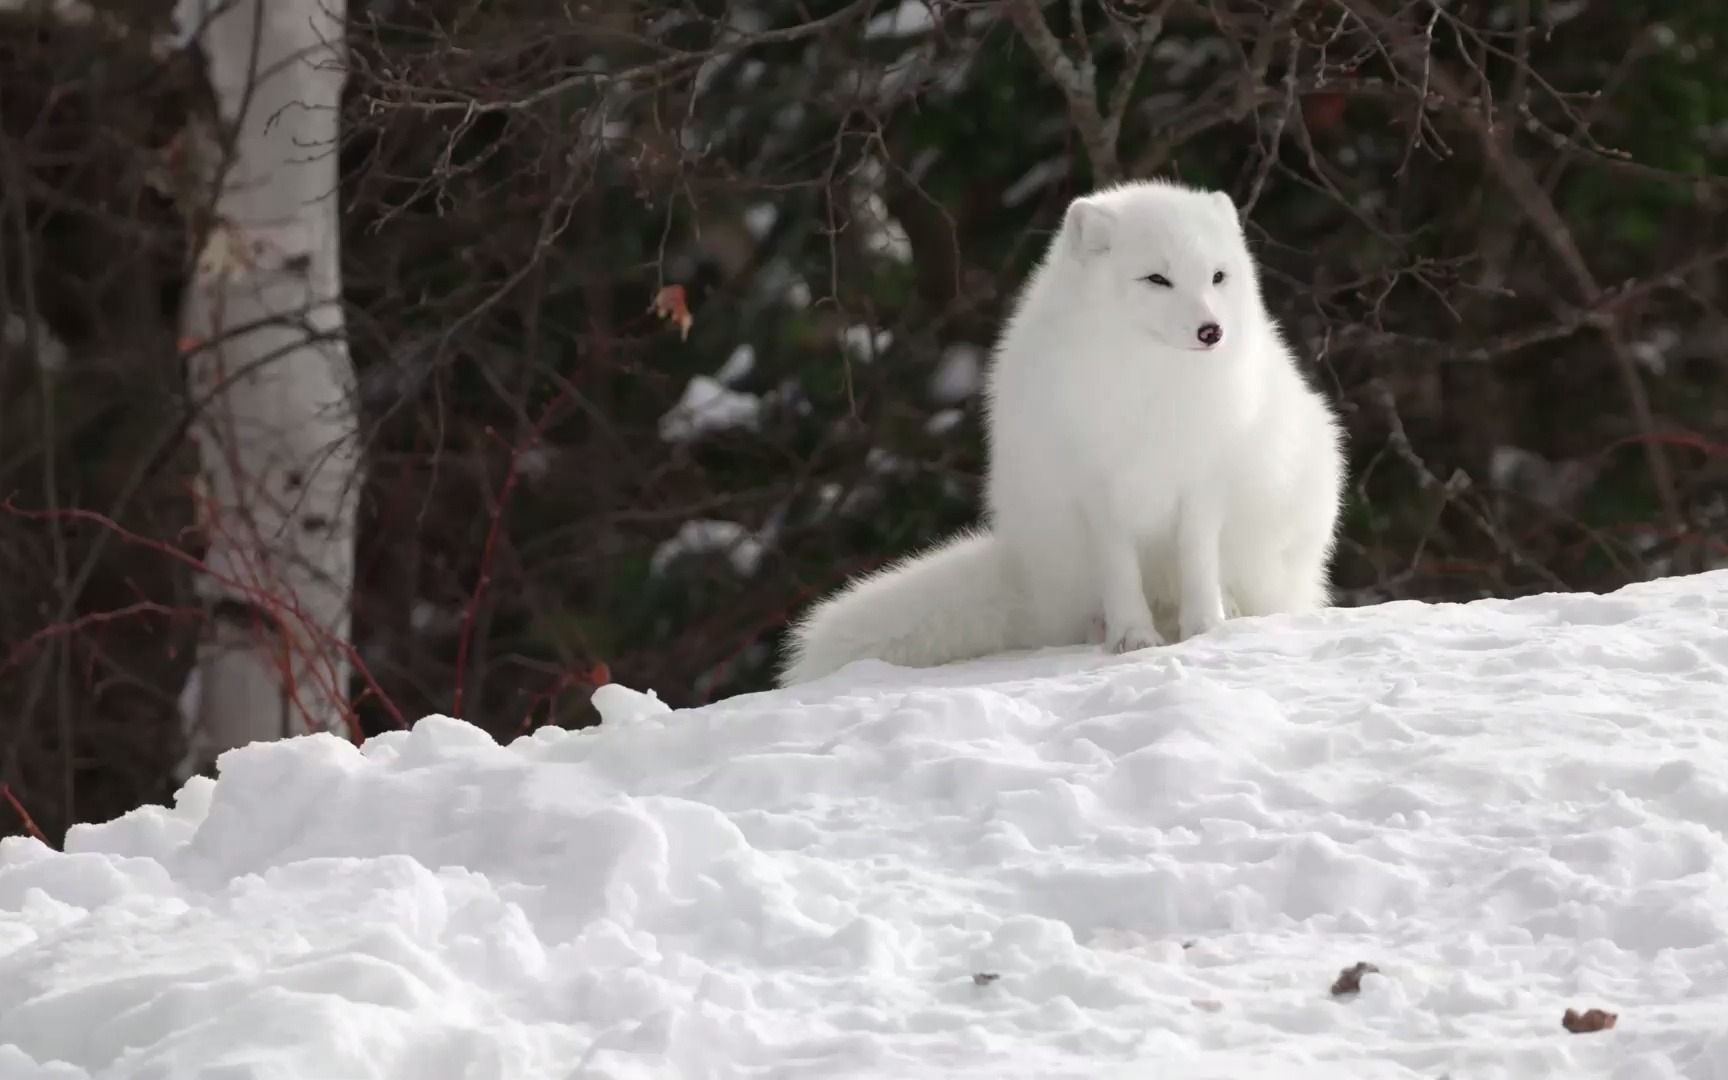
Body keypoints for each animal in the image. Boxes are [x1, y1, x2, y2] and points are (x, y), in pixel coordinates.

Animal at [777, 177, 1340, 680]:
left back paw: (1232, 611)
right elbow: (1120, 572)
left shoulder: (1203, 482)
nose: (1211, 331)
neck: (1150, 386)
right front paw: (1132, 638)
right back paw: (1106, 628)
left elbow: (1199, 564)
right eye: (1157, 279)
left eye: (1218, 277)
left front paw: (1206, 629)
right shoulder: (1096, 489)